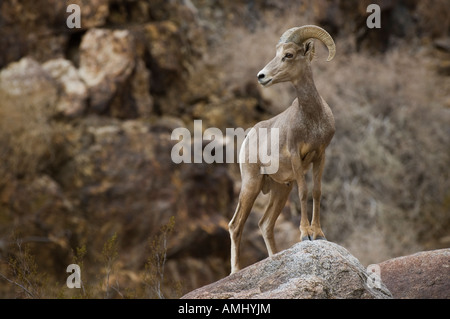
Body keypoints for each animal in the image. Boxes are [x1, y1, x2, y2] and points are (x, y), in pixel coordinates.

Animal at [230, 25, 336, 276]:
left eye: (288, 55)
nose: (261, 76)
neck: (311, 120)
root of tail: (249, 136)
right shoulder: (297, 157)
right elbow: (304, 192)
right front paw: (305, 235)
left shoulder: (320, 156)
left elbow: (316, 192)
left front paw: (318, 234)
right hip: (251, 184)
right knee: (236, 225)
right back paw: (235, 271)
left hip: (280, 189)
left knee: (265, 224)